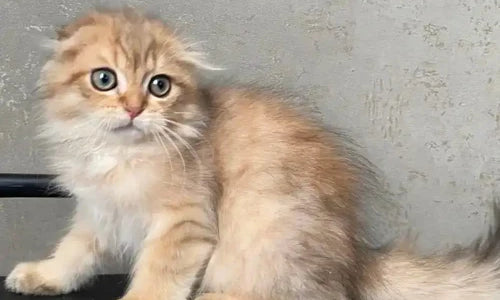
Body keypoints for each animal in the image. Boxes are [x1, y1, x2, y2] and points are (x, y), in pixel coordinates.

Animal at [5, 9, 500, 300]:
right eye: (105, 79)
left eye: (159, 86)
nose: (134, 108)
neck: (118, 155)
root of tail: (357, 263)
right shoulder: (98, 213)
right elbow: (74, 253)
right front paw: (44, 276)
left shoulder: (184, 226)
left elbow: (156, 279)